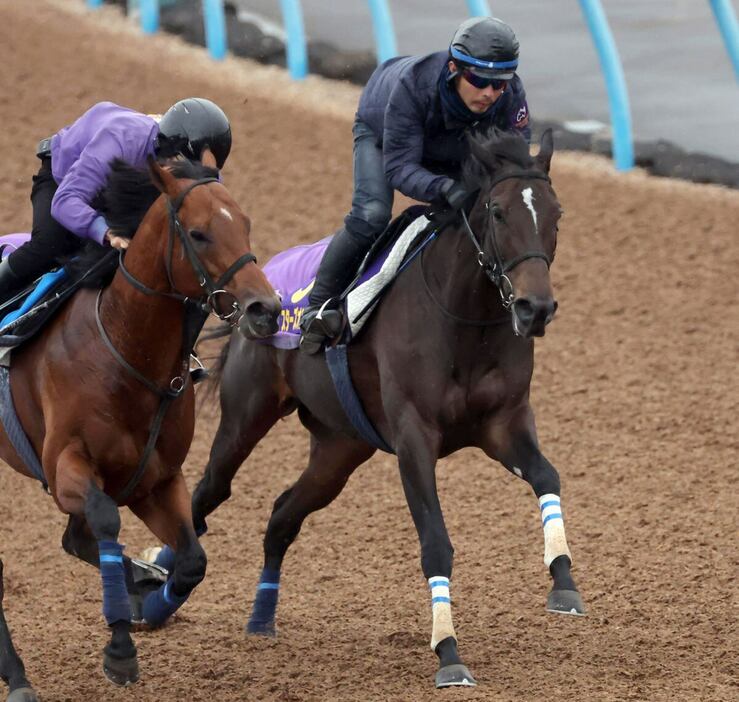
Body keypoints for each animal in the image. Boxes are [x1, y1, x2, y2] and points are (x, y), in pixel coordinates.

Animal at [0, 151, 282, 700]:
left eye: (245, 223)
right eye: (198, 233)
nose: (266, 309)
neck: (124, 351)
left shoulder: (157, 480)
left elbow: (192, 560)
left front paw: (147, 599)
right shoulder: (66, 466)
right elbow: (106, 520)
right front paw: (120, 648)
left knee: (77, 541)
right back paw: (18, 677)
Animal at [185, 129, 584, 692]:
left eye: (556, 213)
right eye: (498, 211)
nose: (535, 308)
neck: (464, 319)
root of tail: (257, 293)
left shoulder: (503, 423)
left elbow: (547, 476)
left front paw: (563, 581)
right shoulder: (414, 438)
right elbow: (436, 543)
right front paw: (448, 654)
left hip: (339, 449)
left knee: (283, 514)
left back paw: (261, 619)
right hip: (247, 415)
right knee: (208, 490)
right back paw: (156, 583)